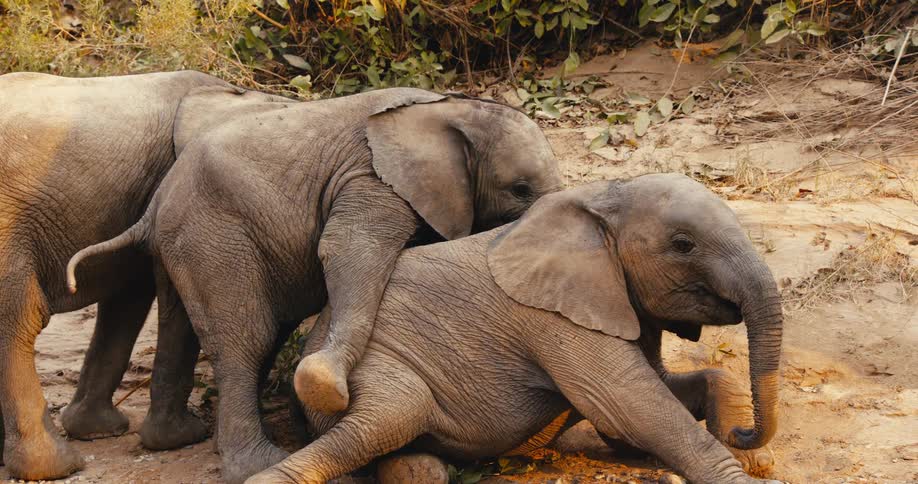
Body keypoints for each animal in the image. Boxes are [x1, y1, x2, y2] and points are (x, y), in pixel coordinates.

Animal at [66, 86, 562, 482]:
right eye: (519, 188)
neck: (453, 109)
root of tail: (153, 206)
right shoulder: (372, 179)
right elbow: (348, 245)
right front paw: (325, 387)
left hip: (181, 241)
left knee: (183, 329)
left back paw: (176, 439)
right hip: (213, 234)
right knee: (250, 337)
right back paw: (256, 463)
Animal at [249, 174, 784, 484]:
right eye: (683, 244)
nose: (743, 434)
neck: (593, 204)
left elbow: (666, 388)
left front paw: (745, 452)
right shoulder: (552, 318)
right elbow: (630, 404)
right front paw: (744, 470)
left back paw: (418, 468)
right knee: (389, 413)